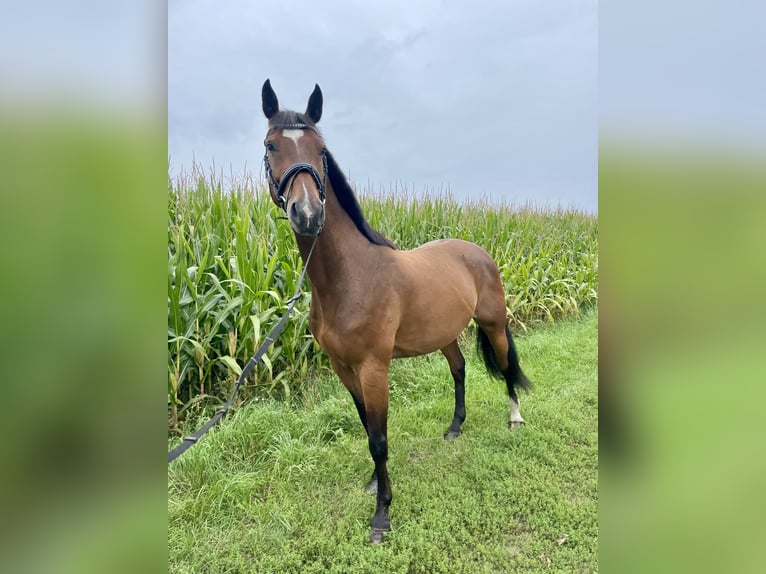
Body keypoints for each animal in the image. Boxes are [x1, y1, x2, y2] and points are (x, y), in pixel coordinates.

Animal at [260, 80, 532, 544]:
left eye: (321, 151)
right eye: (271, 145)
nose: (308, 214)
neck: (350, 277)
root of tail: (477, 251)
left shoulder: (374, 368)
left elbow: (380, 439)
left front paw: (381, 515)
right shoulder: (343, 368)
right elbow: (367, 427)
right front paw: (374, 483)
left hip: (494, 322)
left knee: (504, 361)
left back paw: (514, 416)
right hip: (444, 334)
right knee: (459, 370)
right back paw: (455, 427)